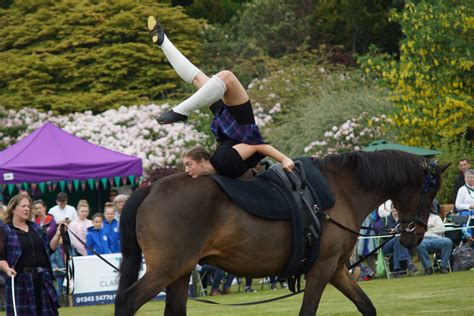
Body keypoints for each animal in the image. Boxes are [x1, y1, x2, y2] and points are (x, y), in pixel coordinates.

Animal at [115, 150, 448, 314]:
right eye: (430, 193)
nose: (414, 236)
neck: (340, 189)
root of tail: (151, 188)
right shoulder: (322, 269)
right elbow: (307, 312)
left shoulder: (336, 269)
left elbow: (366, 306)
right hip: (165, 270)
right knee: (126, 302)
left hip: (180, 272)